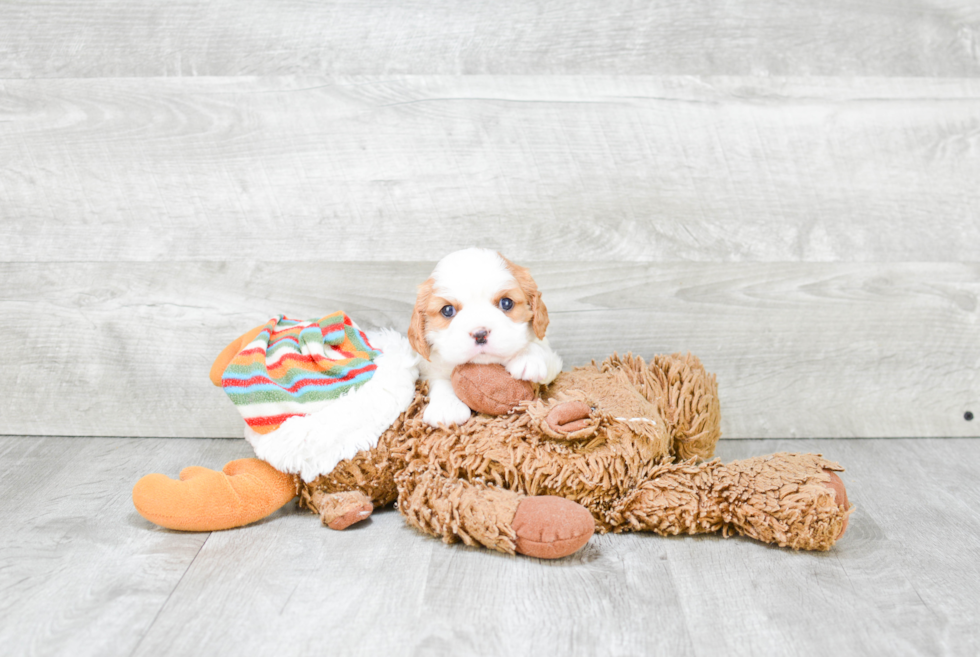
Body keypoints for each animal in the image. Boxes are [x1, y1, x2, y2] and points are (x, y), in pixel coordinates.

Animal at [404, 246, 560, 426]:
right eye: (447, 310)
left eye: (506, 303)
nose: (480, 334)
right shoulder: (429, 367)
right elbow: (439, 380)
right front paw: (447, 406)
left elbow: (539, 349)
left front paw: (528, 358)